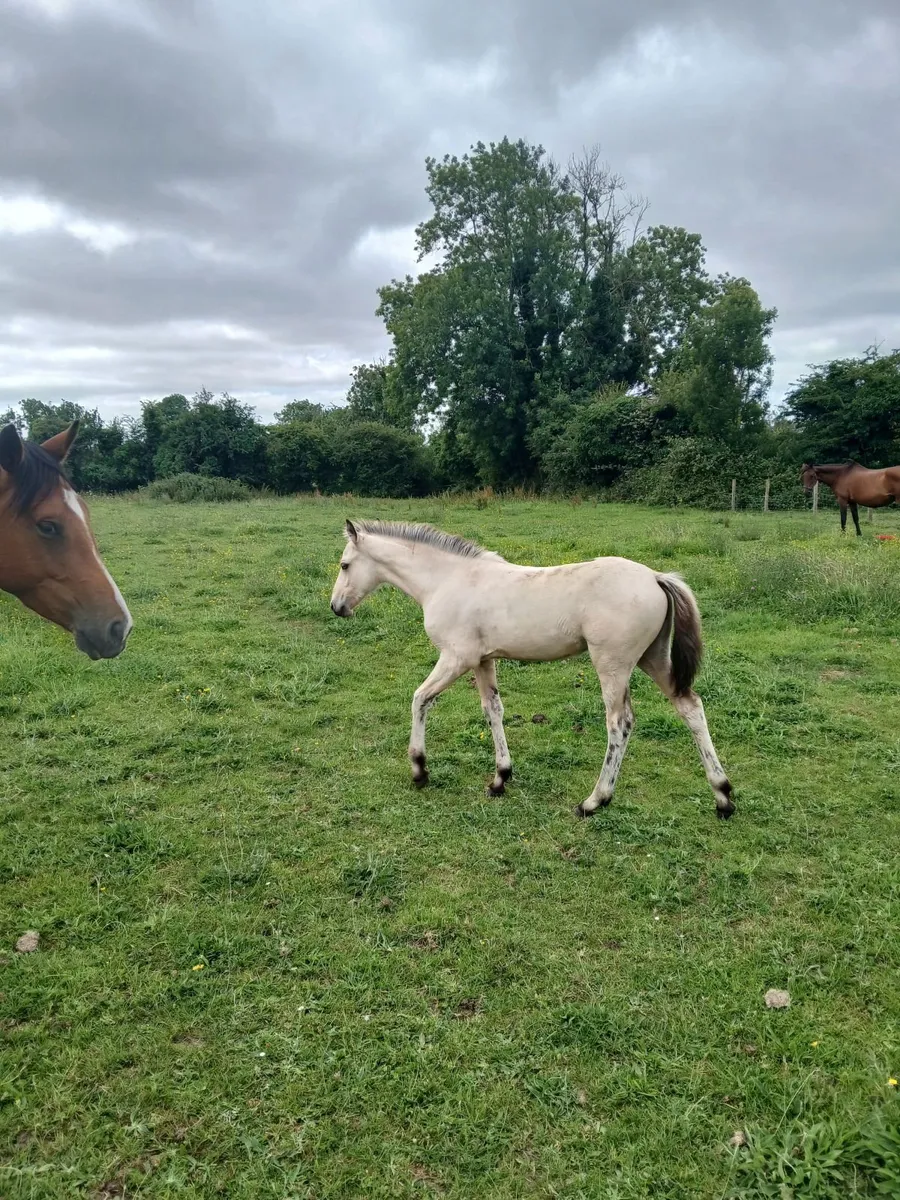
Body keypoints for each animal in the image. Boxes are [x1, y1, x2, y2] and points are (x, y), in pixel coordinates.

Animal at [329, 519, 734, 820]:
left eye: (345, 565)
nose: (336, 607)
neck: (448, 580)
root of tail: (654, 576)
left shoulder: (456, 658)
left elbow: (420, 699)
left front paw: (419, 769)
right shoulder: (483, 660)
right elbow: (493, 710)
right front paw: (500, 778)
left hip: (613, 664)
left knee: (620, 724)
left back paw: (595, 801)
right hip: (653, 658)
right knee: (690, 707)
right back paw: (723, 796)